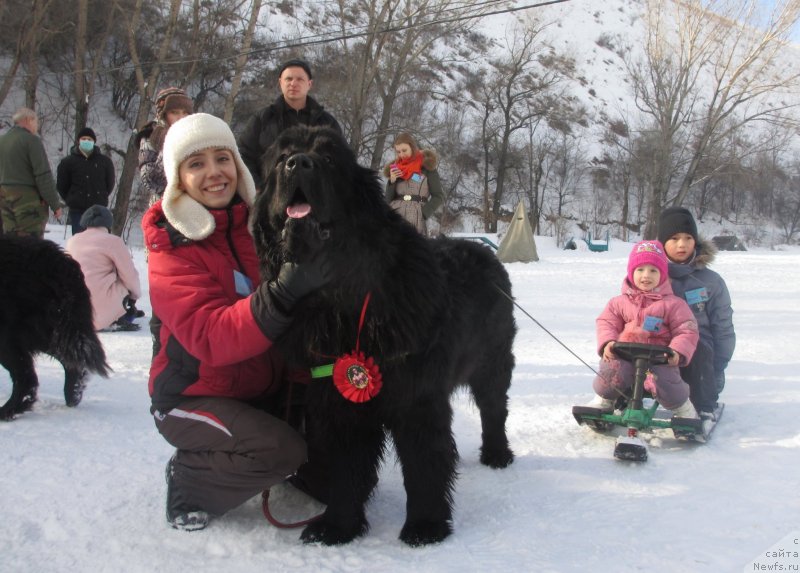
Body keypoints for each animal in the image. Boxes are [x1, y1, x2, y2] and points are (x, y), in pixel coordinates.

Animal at [0, 233, 108, 420]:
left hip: (13, 335)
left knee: (27, 379)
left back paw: (7, 411)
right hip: (48, 331)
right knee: (70, 359)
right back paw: (73, 393)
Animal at [252, 125, 520, 544]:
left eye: (328, 159)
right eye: (282, 157)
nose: (299, 163)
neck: (344, 301)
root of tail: (484, 251)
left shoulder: (416, 397)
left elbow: (424, 462)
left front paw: (426, 526)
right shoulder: (337, 399)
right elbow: (346, 468)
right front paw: (337, 526)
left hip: (492, 361)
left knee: (494, 408)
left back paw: (496, 454)